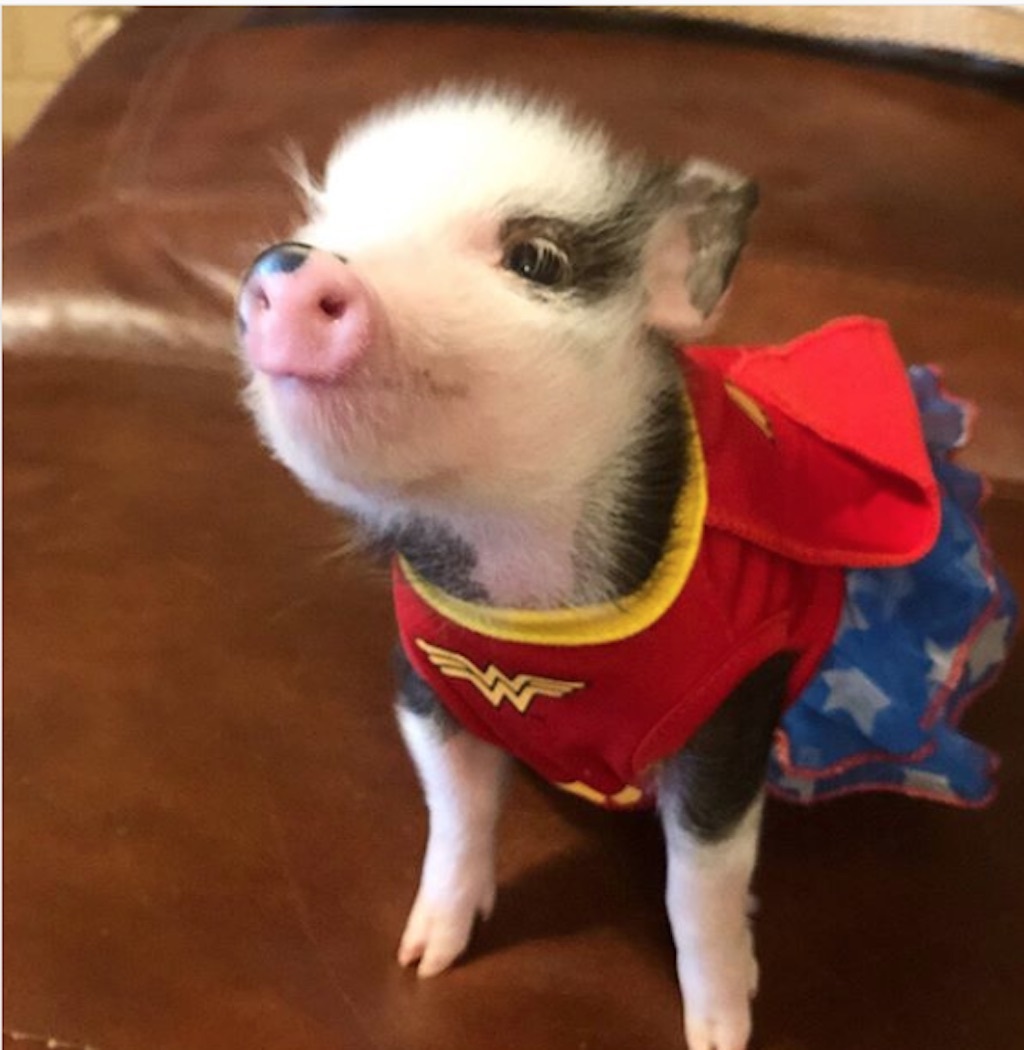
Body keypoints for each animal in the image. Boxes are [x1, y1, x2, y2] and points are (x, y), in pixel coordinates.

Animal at [235, 87, 802, 1050]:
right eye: (327, 219)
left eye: (536, 258)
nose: (291, 263)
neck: (530, 598)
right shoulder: (422, 680)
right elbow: (456, 812)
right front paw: (422, 960)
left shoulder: (734, 708)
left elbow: (703, 882)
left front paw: (721, 1030)